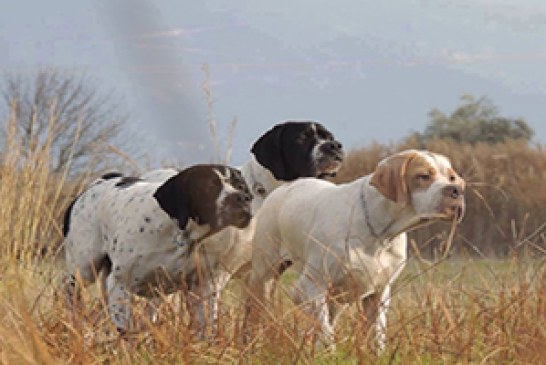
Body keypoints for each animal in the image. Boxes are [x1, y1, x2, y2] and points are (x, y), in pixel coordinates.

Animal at [63, 164, 253, 332]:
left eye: (241, 186)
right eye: (209, 185)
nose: (243, 198)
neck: (179, 234)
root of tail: (100, 182)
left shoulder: (201, 291)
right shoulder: (120, 285)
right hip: (83, 269)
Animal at [245, 150, 464, 346]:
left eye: (452, 177)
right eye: (423, 176)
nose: (456, 190)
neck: (380, 234)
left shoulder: (379, 294)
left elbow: (376, 338)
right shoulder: (310, 287)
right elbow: (326, 334)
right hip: (264, 279)